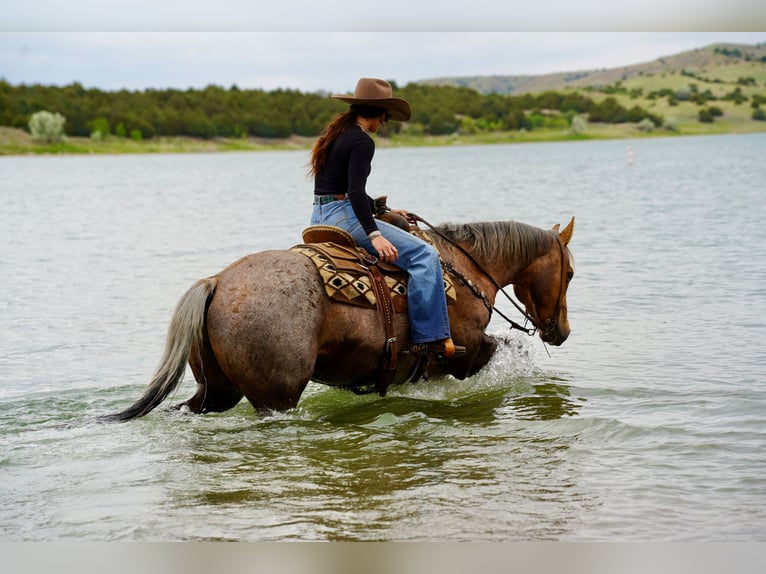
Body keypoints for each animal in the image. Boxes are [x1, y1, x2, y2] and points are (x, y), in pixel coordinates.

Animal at [103, 216, 575, 421]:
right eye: (570, 273)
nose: (562, 332)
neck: (465, 266)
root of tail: (216, 282)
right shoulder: (466, 349)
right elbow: (501, 349)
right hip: (275, 396)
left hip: (216, 390)